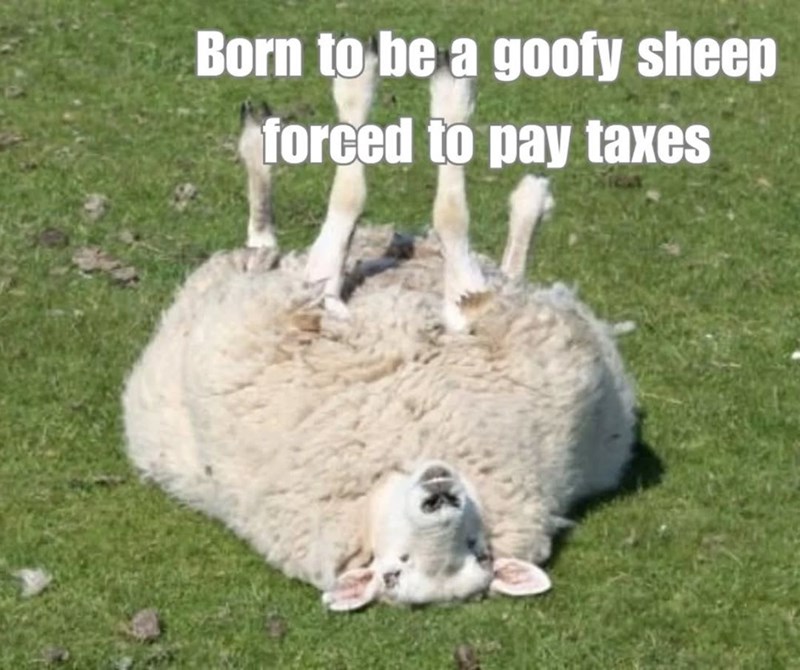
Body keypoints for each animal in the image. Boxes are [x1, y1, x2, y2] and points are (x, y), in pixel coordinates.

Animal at [122, 44, 637, 612]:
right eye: (395, 571)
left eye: (477, 551)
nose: (441, 496)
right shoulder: (325, 313)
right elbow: (382, 203)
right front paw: (392, 83)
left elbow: (419, 213)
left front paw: (434, 92)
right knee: (267, 243)